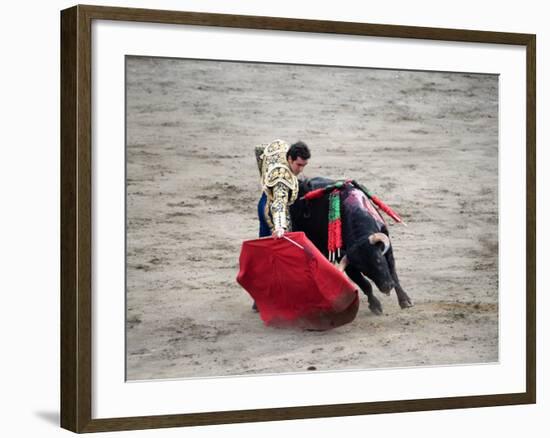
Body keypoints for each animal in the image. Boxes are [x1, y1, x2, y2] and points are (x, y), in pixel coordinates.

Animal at [288, 176, 414, 314]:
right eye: (364, 270)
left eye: (378, 260)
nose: (386, 287)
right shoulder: (348, 262)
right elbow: (365, 284)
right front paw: (375, 305)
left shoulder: (387, 248)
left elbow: (393, 273)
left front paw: (405, 301)